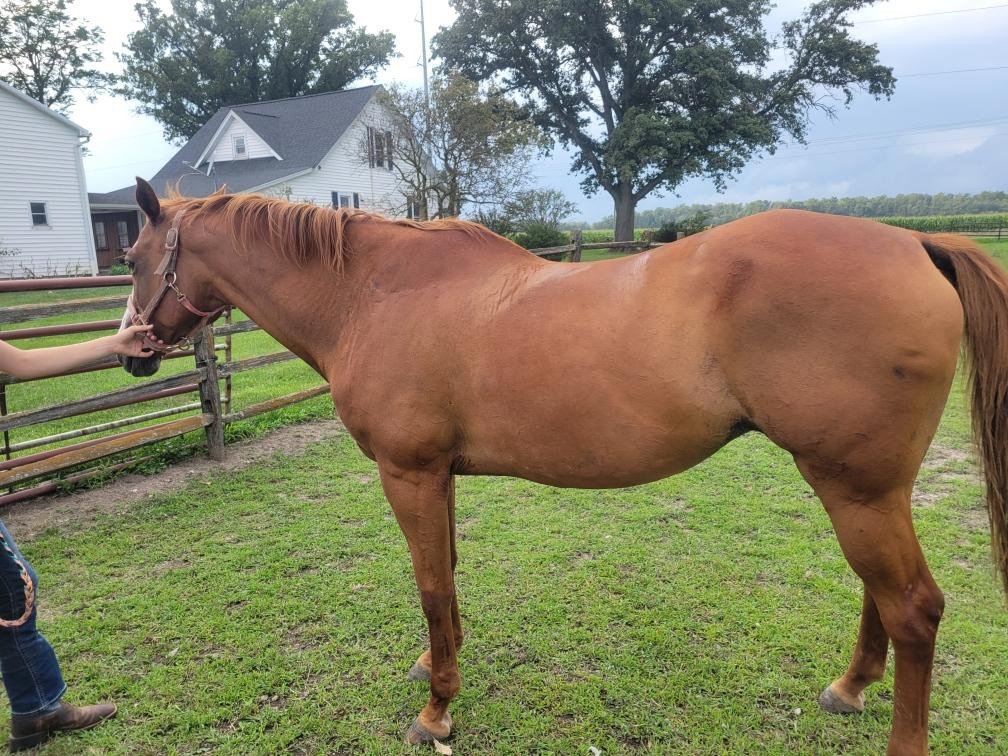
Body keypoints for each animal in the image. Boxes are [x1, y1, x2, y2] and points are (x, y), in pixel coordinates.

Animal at [118, 177, 1008, 755]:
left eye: (131, 257)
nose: (130, 352)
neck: (372, 293)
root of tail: (917, 242)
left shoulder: (409, 473)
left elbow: (430, 584)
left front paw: (438, 713)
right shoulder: (438, 476)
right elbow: (447, 576)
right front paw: (437, 666)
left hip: (856, 488)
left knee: (914, 608)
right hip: (864, 488)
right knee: (881, 596)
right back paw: (850, 687)